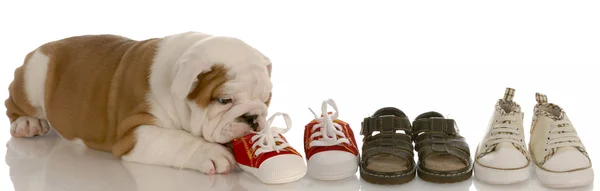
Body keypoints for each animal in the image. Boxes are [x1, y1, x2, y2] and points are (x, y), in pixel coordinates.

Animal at [5, 31, 274, 175]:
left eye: (267, 99)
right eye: (223, 100)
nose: (253, 118)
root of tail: (43, 47)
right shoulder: (135, 133)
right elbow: (178, 140)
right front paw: (213, 153)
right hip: (32, 80)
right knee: (13, 101)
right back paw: (27, 123)